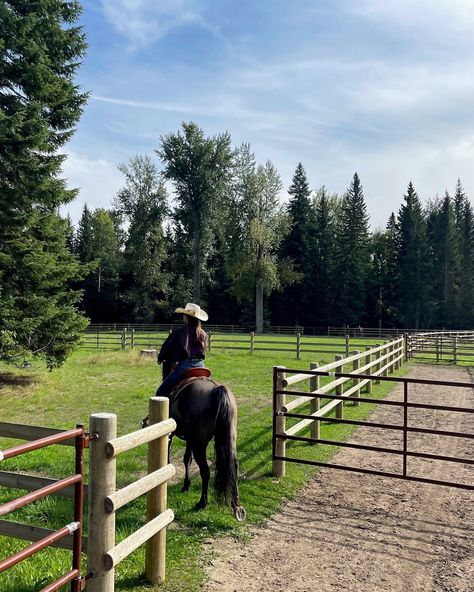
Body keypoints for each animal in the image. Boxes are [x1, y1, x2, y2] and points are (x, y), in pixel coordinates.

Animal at [153, 358, 248, 520]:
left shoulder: (176, 436)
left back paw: (202, 502)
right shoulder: (190, 439)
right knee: (233, 465)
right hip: (228, 439)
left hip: (200, 444)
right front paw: (186, 485)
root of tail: (217, 390)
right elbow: (187, 459)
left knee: (205, 470)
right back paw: (236, 505)